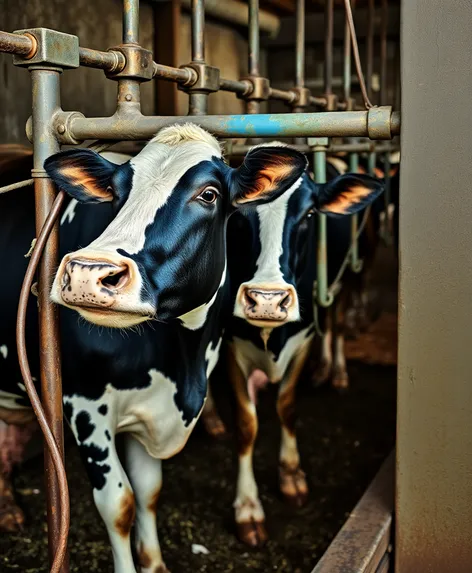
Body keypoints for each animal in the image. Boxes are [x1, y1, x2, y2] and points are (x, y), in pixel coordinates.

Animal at [0, 127, 310, 568]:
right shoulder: (83, 406)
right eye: (116, 191)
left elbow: (148, 491)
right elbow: (119, 504)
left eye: (209, 194)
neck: (180, 363)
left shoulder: (149, 408)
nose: (87, 273)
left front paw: (155, 562)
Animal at [221, 144, 384, 544]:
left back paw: (335, 372)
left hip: (348, 273)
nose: (267, 299)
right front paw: (248, 508)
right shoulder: (230, 343)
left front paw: (291, 475)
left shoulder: (305, 336)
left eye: (310, 214)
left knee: (335, 319)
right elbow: (246, 424)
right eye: (238, 214)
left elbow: (287, 405)